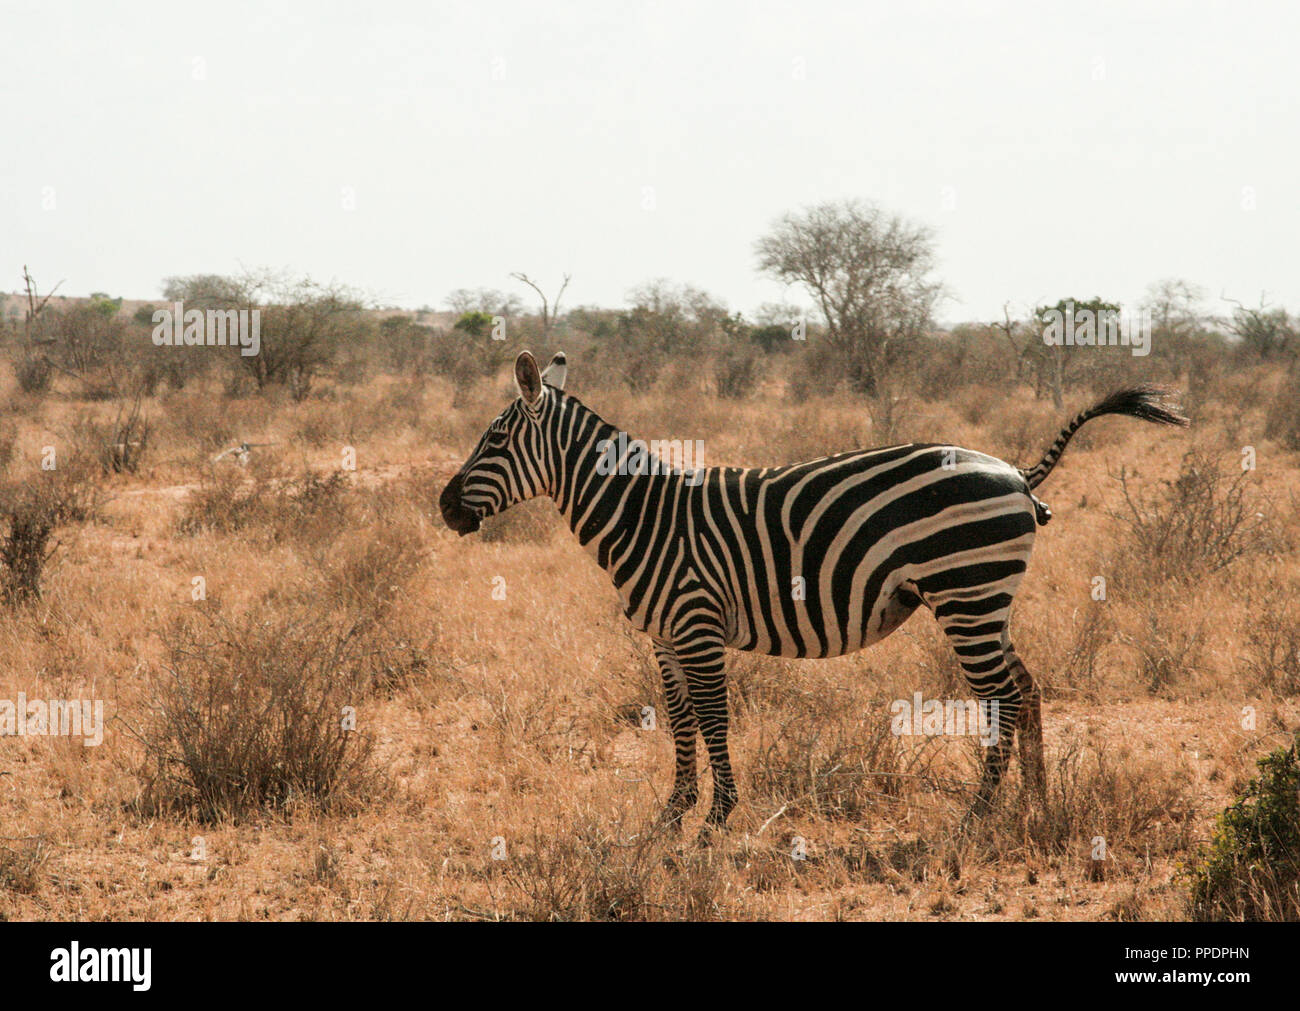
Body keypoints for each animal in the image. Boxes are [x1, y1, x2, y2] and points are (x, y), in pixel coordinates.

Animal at [444, 353, 1190, 836]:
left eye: (494, 439)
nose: (445, 507)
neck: (645, 515)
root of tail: (1014, 470)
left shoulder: (697, 625)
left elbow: (713, 718)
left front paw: (716, 820)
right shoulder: (664, 636)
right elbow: (679, 720)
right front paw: (671, 817)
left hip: (967, 594)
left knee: (1002, 695)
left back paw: (978, 816)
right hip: (987, 599)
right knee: (1027, 688)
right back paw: (1035, 805)